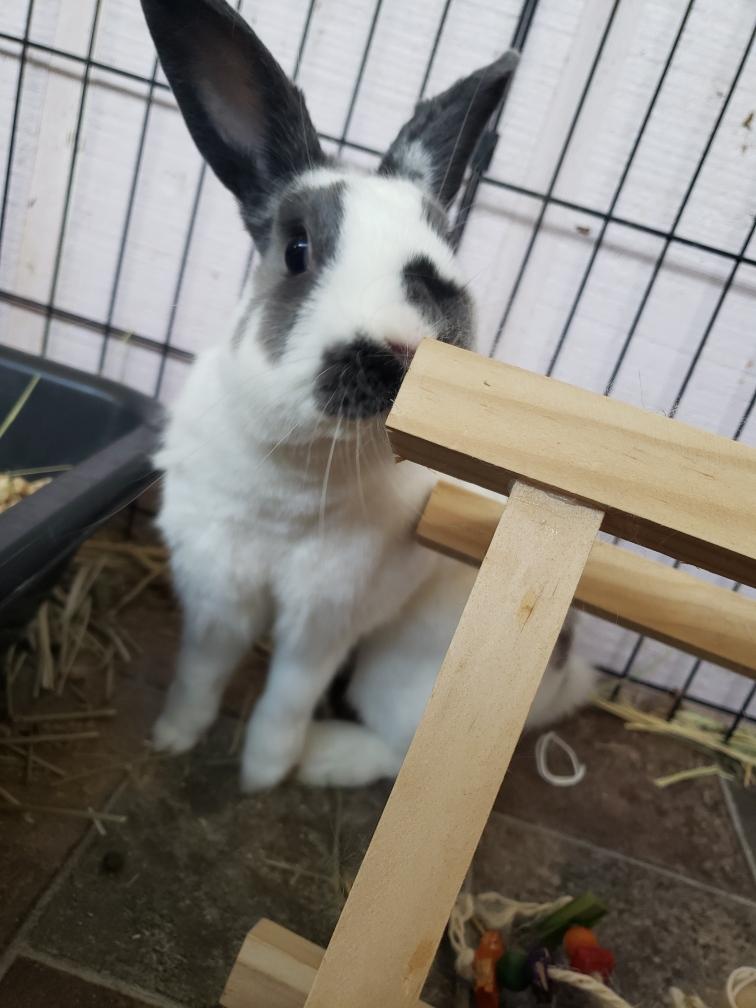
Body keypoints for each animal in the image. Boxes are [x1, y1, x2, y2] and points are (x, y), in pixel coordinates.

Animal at [141, 0, 596, 792]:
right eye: (297, 249)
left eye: (447, 245)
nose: (407, 348)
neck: (296, 471)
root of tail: (559, 681)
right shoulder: (215, 588)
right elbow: (203, 669)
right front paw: (174, 735)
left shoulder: (326, 615)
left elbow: (286, 695)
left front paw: (262, 773)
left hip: (407, 673)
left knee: (400, 750)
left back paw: (324, 755)